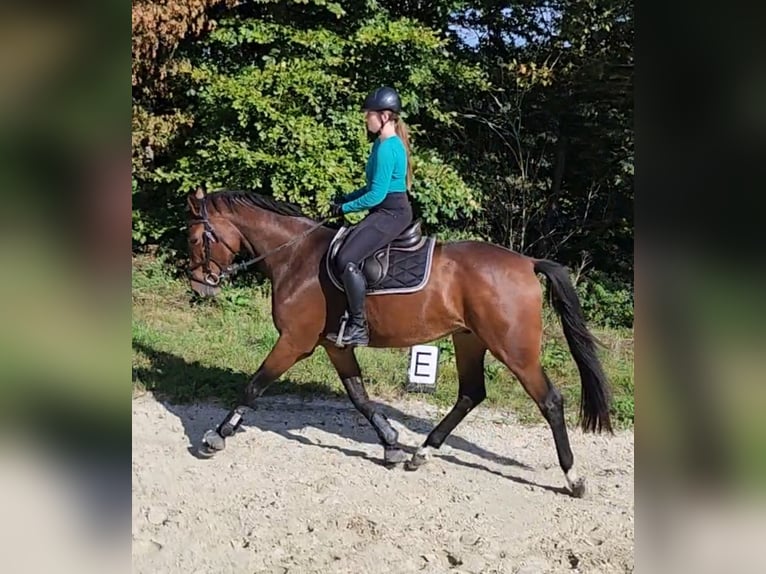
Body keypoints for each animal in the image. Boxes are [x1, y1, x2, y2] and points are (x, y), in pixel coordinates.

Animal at [184, 187, 612, 498]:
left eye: (194, 238)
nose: (199, 287)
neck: (296, 256)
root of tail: (527, 262)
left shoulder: (294, 342)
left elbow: (254, 384)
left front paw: (216, 436)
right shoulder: (336, 346)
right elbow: (359, 396)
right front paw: (390, 444)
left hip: (515, 350)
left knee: (550, 401)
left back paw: (573, 479)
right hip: (469, 340)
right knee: (471, 394)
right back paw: (421, 453)